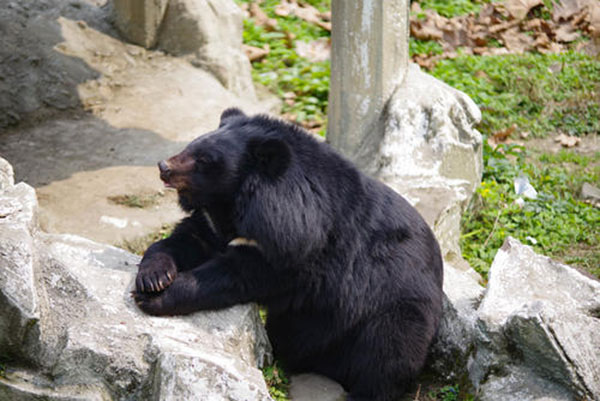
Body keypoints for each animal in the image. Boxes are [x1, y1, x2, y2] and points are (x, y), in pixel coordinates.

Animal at [134, 108, 442, 400]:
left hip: (397, 303)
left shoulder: (298, 244)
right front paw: (153, 278)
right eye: (191, 145)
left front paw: (156, 297)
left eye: (204, 160)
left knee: (390, 349)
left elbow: (238, 274)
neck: (237, 202)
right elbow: (187, 238)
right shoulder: (215, 223)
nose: (163, 167)